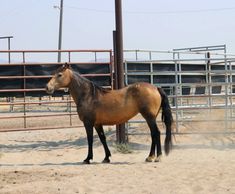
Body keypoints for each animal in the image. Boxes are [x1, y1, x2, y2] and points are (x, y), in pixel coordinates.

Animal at [45, 63, 173, 164]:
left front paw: (88, 159)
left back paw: (157, 157)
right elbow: (103, 138)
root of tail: (156, 88)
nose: (47, 87)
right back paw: (150, 157)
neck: (89, 95)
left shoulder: (88, 123)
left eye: (59, 75)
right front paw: (106, 157)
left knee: (156, 133)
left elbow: (90, 140)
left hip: (149, 117)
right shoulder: (97, 124)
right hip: (150, 118)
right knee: (153, 134)